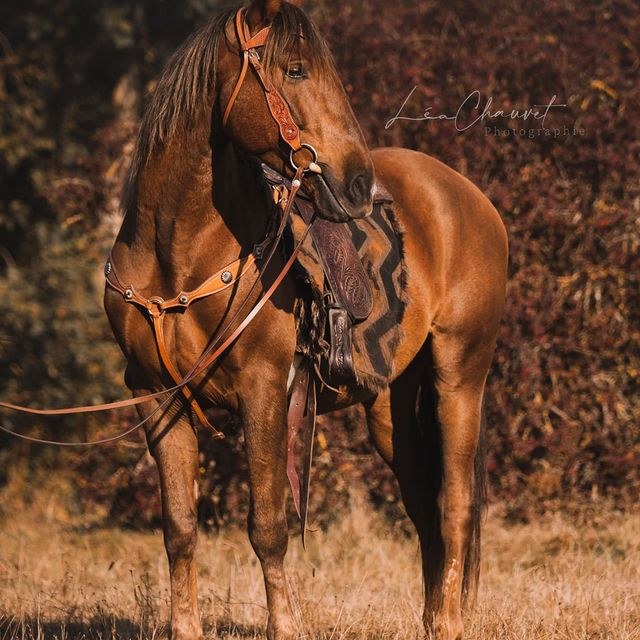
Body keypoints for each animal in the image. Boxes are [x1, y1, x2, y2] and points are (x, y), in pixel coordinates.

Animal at [103, 1, 508, 639]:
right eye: (294, 70)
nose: (358, 182)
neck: (177, 255)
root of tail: (471, 199)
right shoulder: (156, 396)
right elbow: (180, 528)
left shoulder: (264, 390)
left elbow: (268, 527)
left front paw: (286, 625)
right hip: (390, 404)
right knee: (423, 504)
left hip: (460, 378)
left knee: (455, 505)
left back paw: (447, 622)